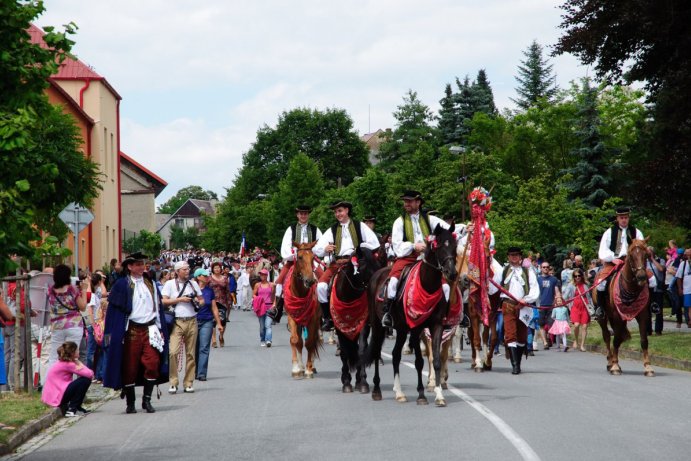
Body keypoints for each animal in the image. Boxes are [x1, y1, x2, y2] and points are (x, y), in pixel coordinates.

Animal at [282, 241, 324, 378]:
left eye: (313, 258)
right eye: (299, 257)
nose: (310, 280)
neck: (300, 294)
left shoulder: (313, 319)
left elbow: (310, 342)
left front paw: (309, 369)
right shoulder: (292, 317)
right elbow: (295, 340)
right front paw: (296, 368)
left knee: (314, 340)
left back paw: (311, 366)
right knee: (300, 342)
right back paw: (300, 367)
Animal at [332, 248, 382, 392]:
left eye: (378, 265)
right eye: (364, 267)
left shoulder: (363, 325)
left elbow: (361, 350)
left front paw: (363, 381)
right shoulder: (339, 327)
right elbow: (344, 352)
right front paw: (346, 382)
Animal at [364, 225, 456, 404]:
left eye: (455, 246)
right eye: (440, 246)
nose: (452, 273)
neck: (427, 286)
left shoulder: (436, 326)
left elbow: (436, 359)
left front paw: (439, 395)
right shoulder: (415, 328)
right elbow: (419, 361)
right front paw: (421, 395)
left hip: (400, 329)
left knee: (395, 355)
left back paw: (399, 393)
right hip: (378, 325)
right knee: (377, 352)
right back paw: (377, 390)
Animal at [596, 239, 656, 376]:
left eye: (646, 255)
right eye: (631, 256)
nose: (641, 277)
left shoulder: (643, 315)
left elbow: (644, 340)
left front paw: (648, 367)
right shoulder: (618, 316)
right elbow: (616, 339)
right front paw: (615, 366)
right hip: (604, 318)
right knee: (607, 336)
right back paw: (610, 362)